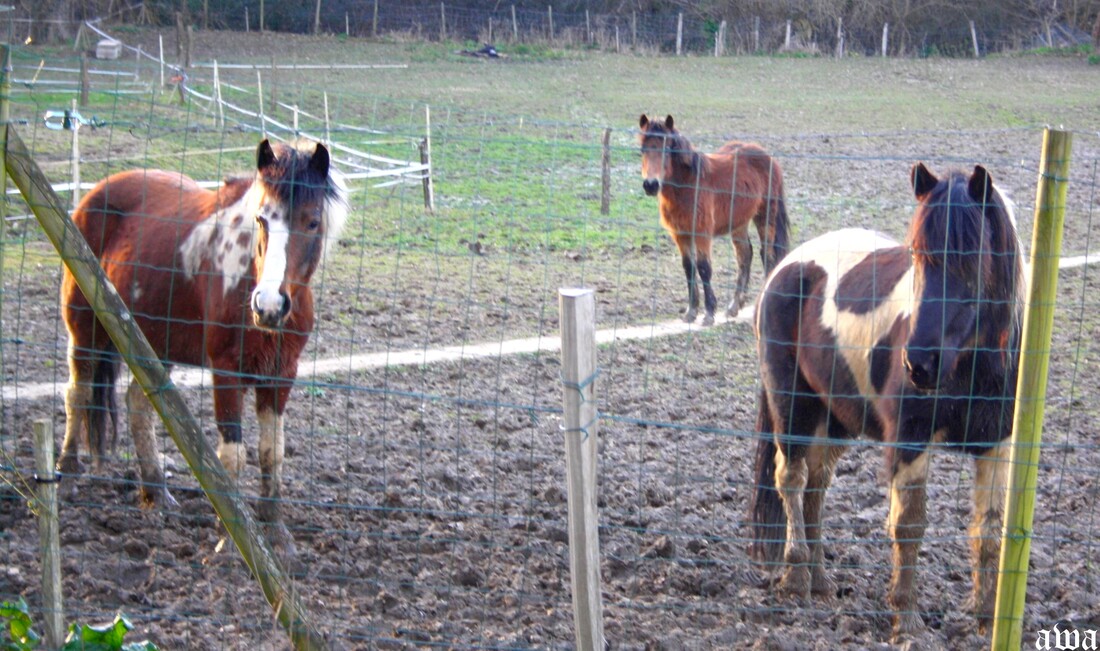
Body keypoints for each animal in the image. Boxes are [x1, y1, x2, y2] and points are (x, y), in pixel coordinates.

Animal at [58, 139, 347, 552]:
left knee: (138, 402)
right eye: (262, 219)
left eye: (312, 221)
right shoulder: (226, 371)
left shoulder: (280, 374)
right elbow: (232, 457)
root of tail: (92, 196)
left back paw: (156, 491)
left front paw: (277, 534)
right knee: (78, 394)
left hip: (154, 341)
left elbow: (271, 452)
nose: (268, 305)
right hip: (84, 329)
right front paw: (232, 540)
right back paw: (66, 475)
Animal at [638, 114, 792, 325]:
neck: (688, 185)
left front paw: (709, 313)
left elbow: (704, 268)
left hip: (765, 216)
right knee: (745, 255)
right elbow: (688, 268)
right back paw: (734, 306)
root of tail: (769, 158)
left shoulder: (702, 233)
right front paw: (691, 312)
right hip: (739, 223)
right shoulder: (681, 235)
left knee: (766, 254)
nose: (651, 185)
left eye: (668, 148)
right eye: (642, 149)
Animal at [748, 162, 1020, 642]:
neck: (972, 365)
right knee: (791, 479)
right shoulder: (909, 441)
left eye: (973, 260)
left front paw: (988, 617)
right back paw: (797, 577)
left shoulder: (996, 444)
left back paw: (820, 580)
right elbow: (908, 526)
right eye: (917, 255)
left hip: (836, 419)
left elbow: (989, 528)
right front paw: (906, 620)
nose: (919, 365)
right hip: (792, 407)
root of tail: (787, 265)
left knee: (817, 484)